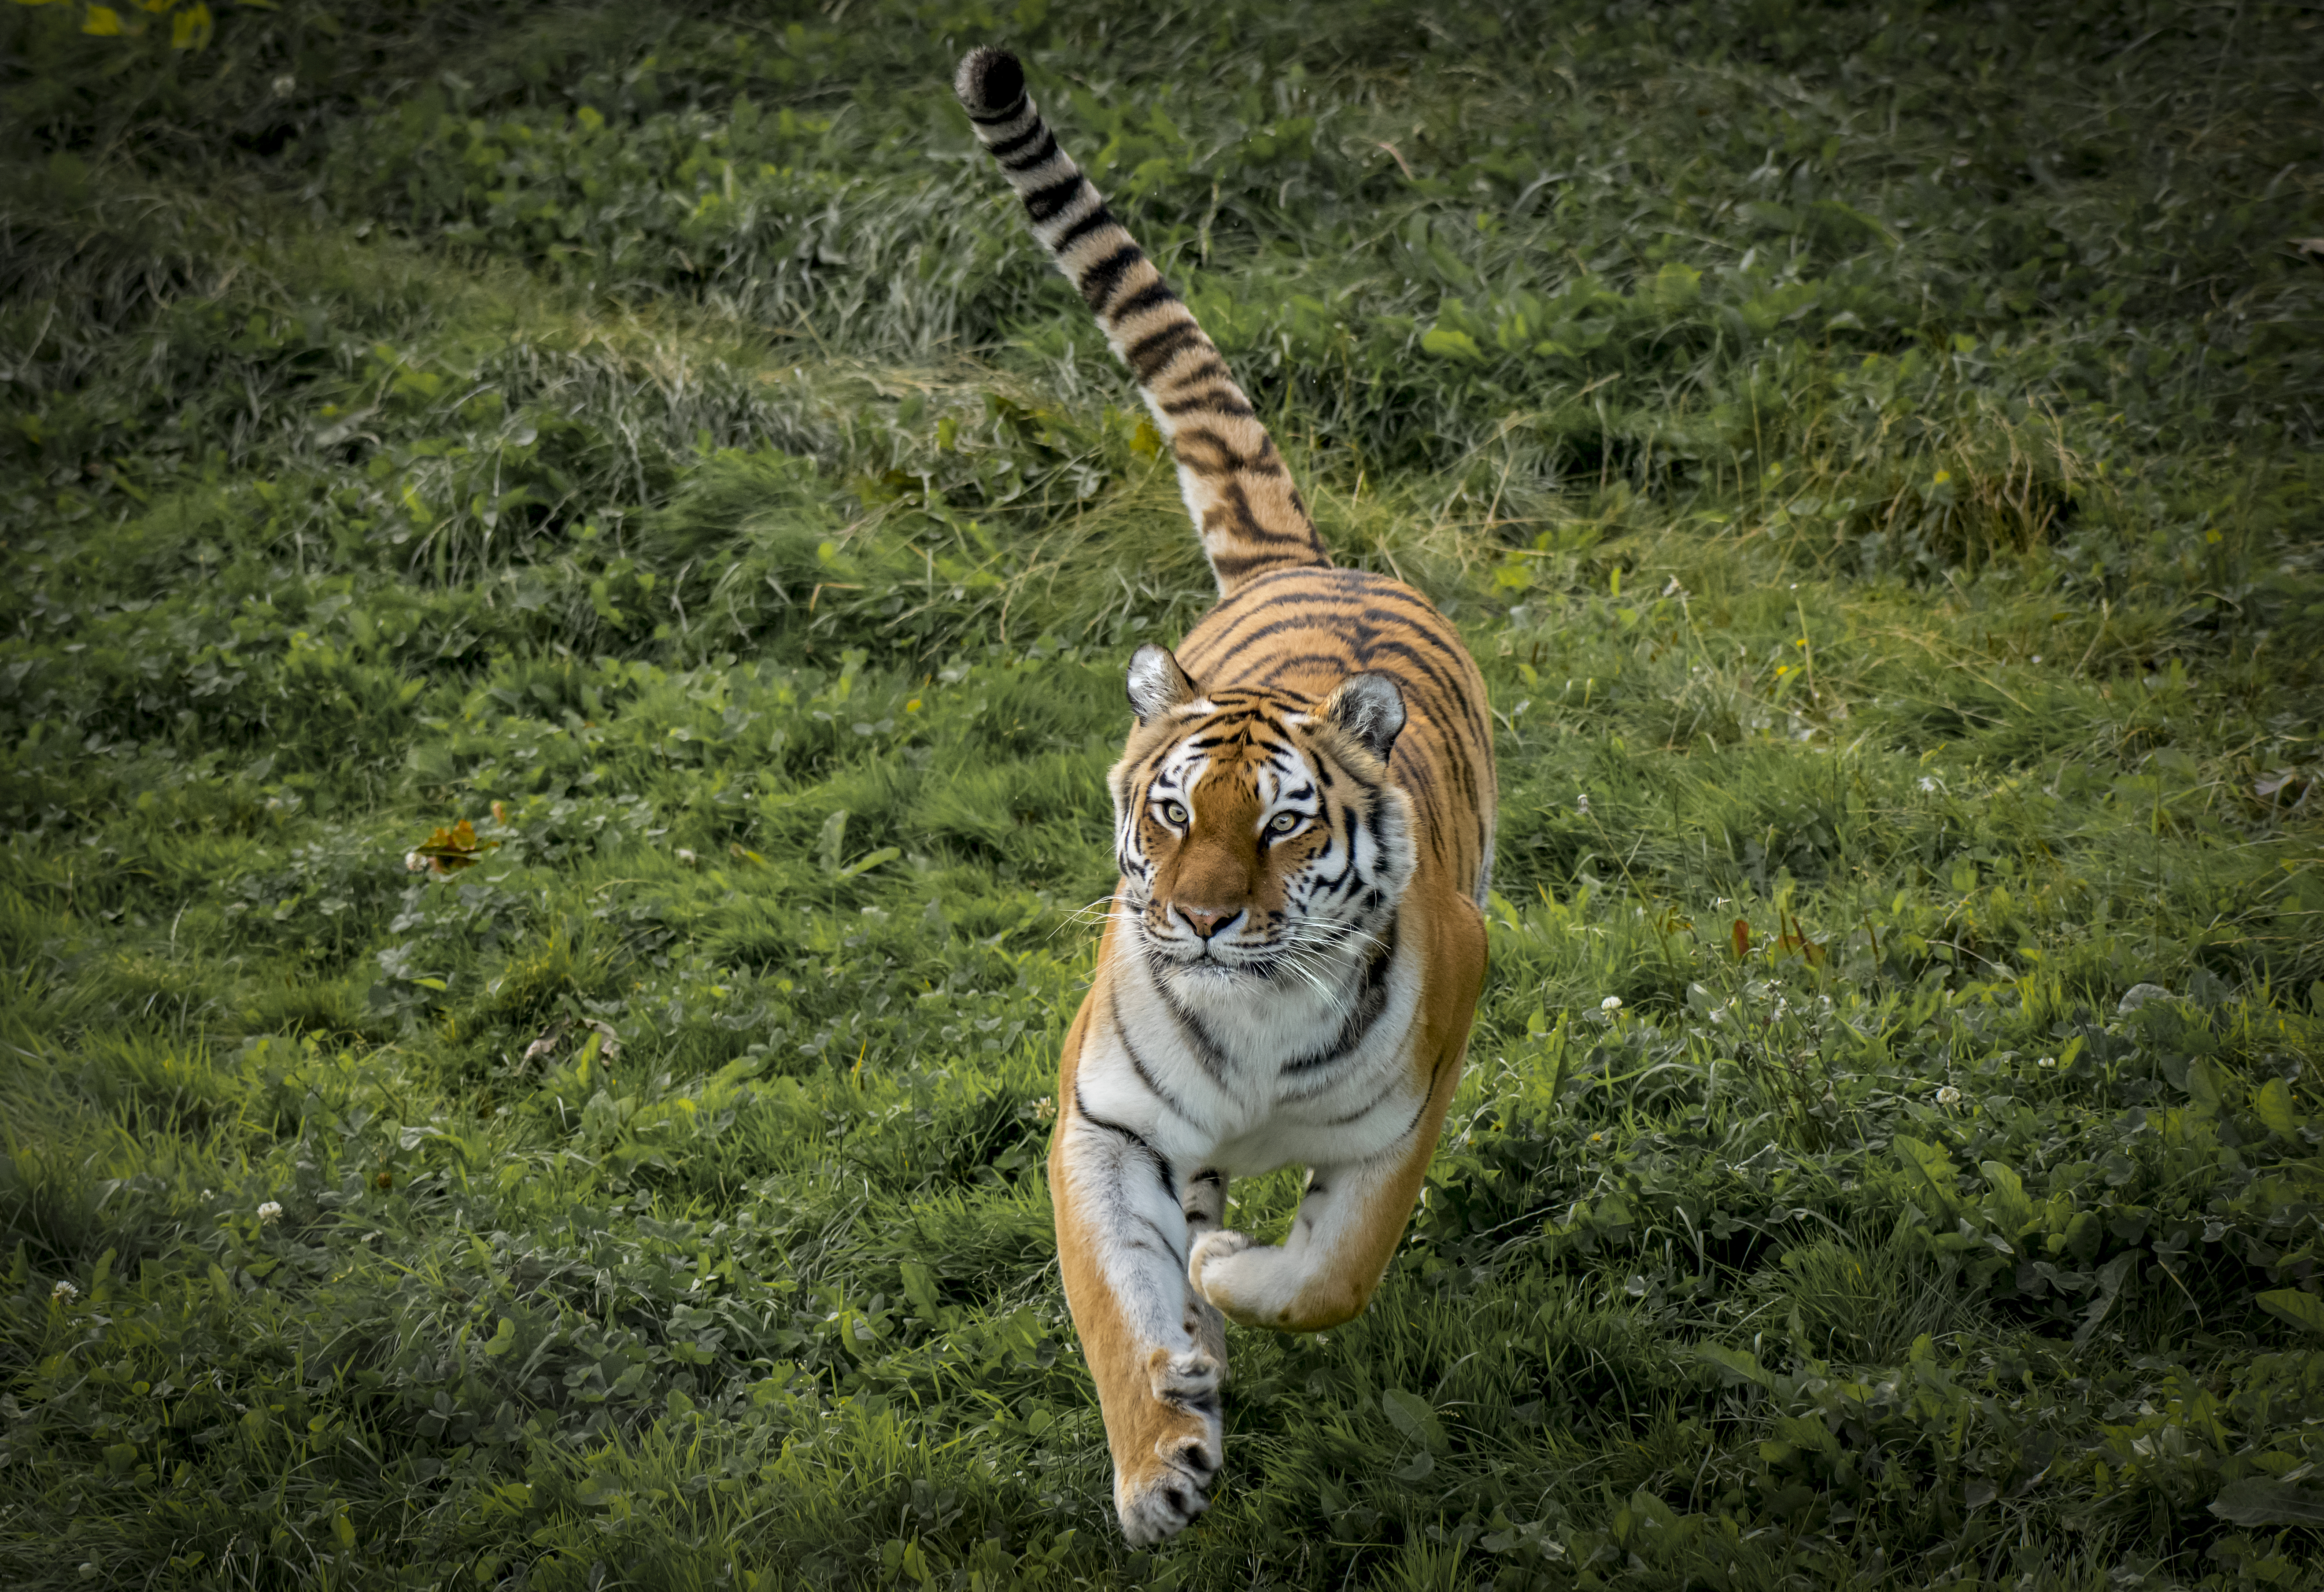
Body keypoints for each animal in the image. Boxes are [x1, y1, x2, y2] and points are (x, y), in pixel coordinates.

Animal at [953, 46, 1496, 1543]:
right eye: (1171, 813)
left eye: (1284, 823)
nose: (1197, 921)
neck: (1250, 1017)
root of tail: (1302, 560)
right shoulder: (1100, 1127)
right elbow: (1111, 1300)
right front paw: (1159, 1457)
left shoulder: (1414, 1095)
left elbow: (1329, 1268)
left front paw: (1229, 1274)